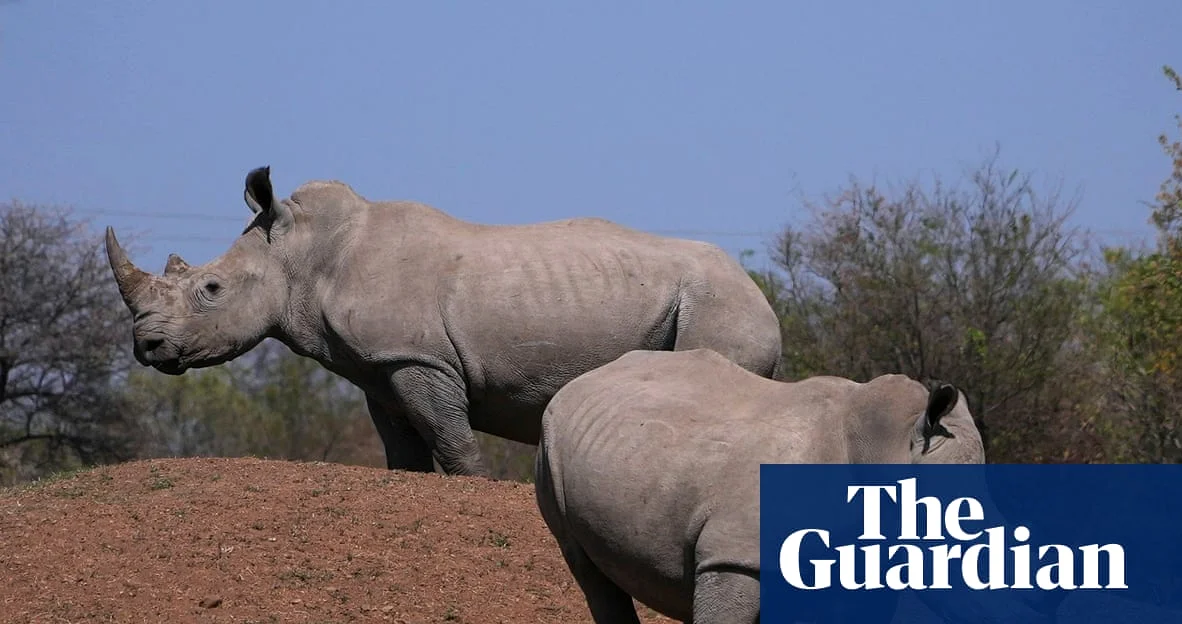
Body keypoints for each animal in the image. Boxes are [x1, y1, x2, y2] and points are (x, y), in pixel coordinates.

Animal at [104, 166, 783, 476]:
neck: (304, 255)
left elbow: (453, 441)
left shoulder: (417, 356)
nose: (147, 346)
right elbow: (402, 448)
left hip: (718, 304)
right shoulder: (378, 368)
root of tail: (763, 297)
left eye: (210, 289)